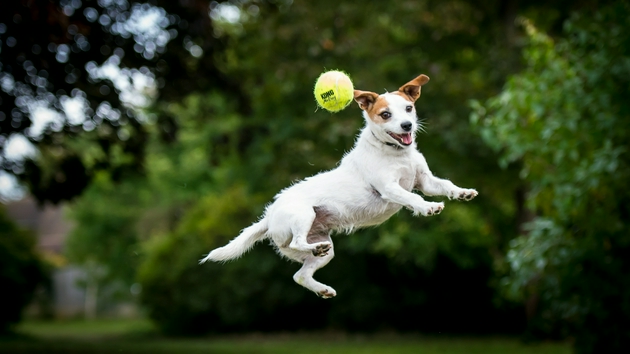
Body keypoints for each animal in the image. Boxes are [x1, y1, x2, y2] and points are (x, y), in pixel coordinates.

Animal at [202, 74, 478, 298]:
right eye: (385, 114)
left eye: (409, 108)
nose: (407, 125)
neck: (396, 153)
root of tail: (269, 216)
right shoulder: (390, 188)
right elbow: (414, 199)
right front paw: (428, 208)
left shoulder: (425, 181)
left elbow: (446, 185)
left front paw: (463, 193)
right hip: (303, 216)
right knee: (298, 243)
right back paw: (313, 253)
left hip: (325, 251)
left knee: (300, 274)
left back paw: (322, 287)